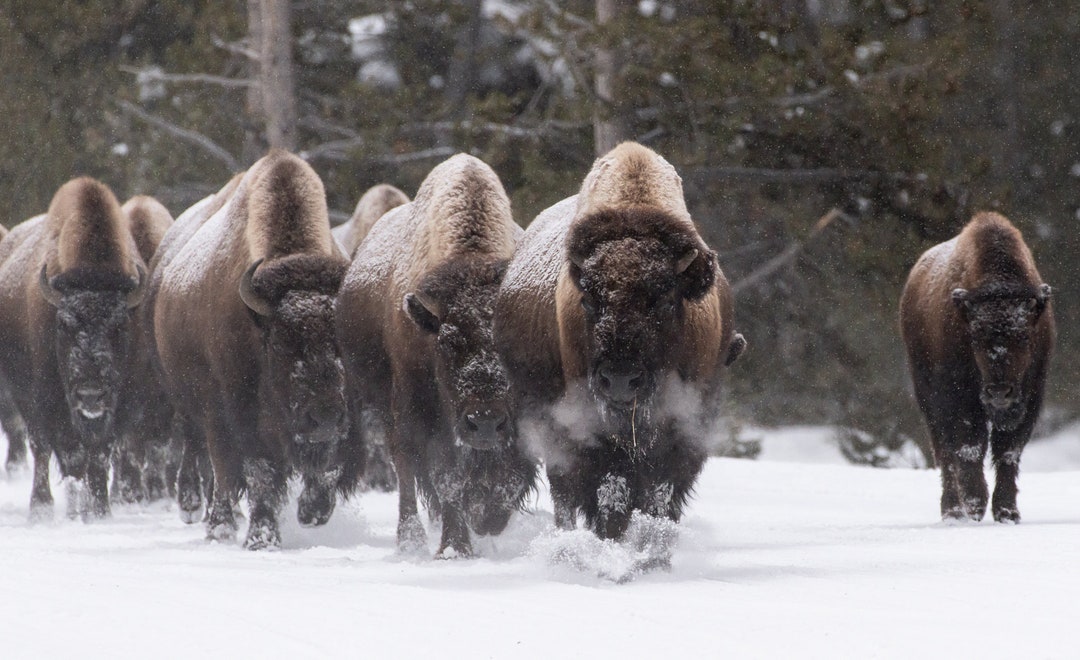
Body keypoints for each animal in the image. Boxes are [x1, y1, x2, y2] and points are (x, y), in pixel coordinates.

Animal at [336, 154, 537, 557]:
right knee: (404, 466)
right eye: (447, 343)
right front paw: (455, 547)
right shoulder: (423, 409)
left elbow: (510, 475)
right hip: (390, 409)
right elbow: (446, 477)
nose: (485, 423)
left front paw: (488, 520)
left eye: (509, 346)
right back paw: (410, 538)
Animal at [494, 142, 745, 541]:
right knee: (566, 492)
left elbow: (659, 492)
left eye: (665, 299)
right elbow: (610, 493)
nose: (621, 380)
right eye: (588, 299)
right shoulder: (589, 433)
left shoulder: (681, 429)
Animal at [900, 212, 1054, 523]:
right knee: (945, 453)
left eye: (1025, 336)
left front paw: (1007, 512)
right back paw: (953, 511)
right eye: (975, 337)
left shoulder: (1030, 399)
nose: (999, 393)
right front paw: (975, 505)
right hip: (927, 399)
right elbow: (969, 447)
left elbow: (1008, 451)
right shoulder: (960, 399)